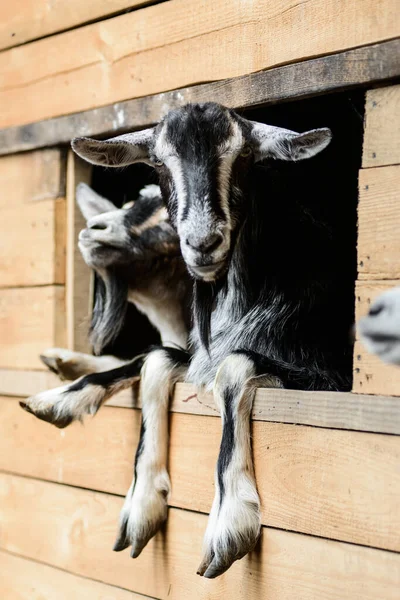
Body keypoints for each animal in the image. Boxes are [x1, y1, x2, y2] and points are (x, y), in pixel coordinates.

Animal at [22, 102, 354, 576]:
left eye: (245, 155)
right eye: (159, 161)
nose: (203, 242)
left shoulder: (326, 376)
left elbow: (233, 366)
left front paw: (229, 521)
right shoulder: (197, 355)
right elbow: (155, 360)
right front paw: (140, 501)